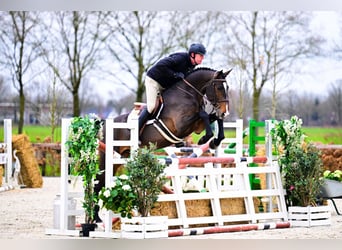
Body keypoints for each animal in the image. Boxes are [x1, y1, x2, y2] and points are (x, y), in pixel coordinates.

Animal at [95, 66, 231, 221]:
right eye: (219, 87)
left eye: (227, 88)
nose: (225, 112)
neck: (188, 94)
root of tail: (105, 123)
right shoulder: (181, 124)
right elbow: (203, 114)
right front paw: (205, 139)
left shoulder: (196, 126)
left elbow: (213, 117)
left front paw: (215, 140)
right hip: (107, 156)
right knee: (98, 183)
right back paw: (95, 218)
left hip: (120, 158)